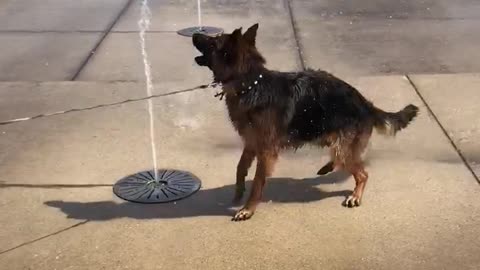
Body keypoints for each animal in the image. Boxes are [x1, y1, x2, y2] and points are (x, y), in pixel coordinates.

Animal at [193, 24, 418, 220]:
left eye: (213, 42)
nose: (195, 33)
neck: (252, 85)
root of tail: (365, 103)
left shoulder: (265, 152)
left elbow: (257, 182)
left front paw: (248, 209)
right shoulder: (251, 142)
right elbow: (240, 168)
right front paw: (238, 193)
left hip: (340, 146)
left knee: (362, 173)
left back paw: (355, 195)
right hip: (327, 136)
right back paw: (328, 167)